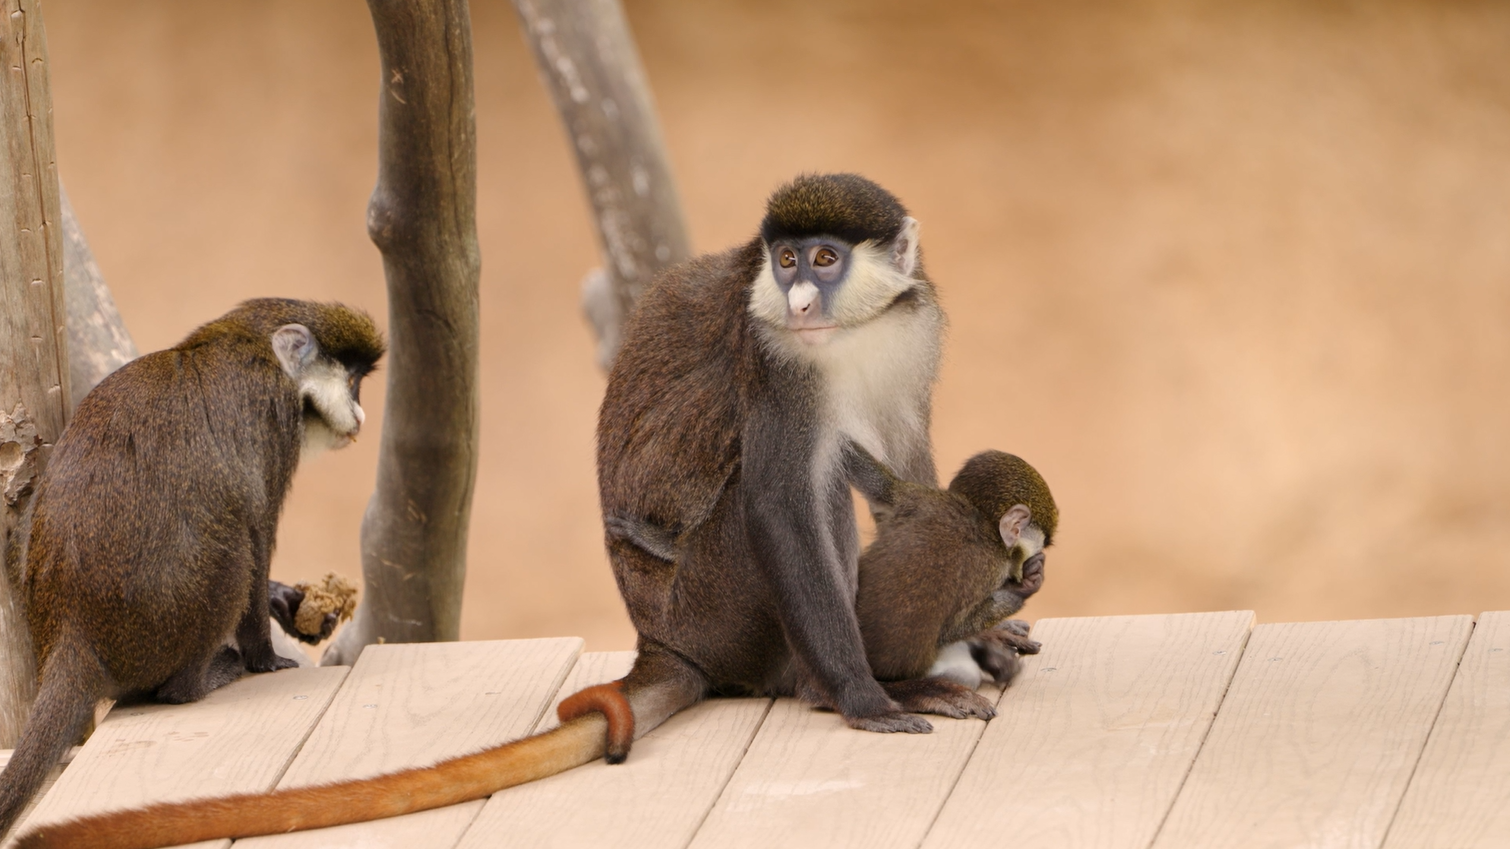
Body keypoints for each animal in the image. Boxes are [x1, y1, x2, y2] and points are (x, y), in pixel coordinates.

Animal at [0, 299, 384, 840]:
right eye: (351, 380)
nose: (361, 413)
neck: (244, 341)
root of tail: (71, 635)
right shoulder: (272, 420)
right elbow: (257, 530)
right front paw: (267, 658)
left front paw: (286, 601)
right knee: (235, 550)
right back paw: (198, 681)